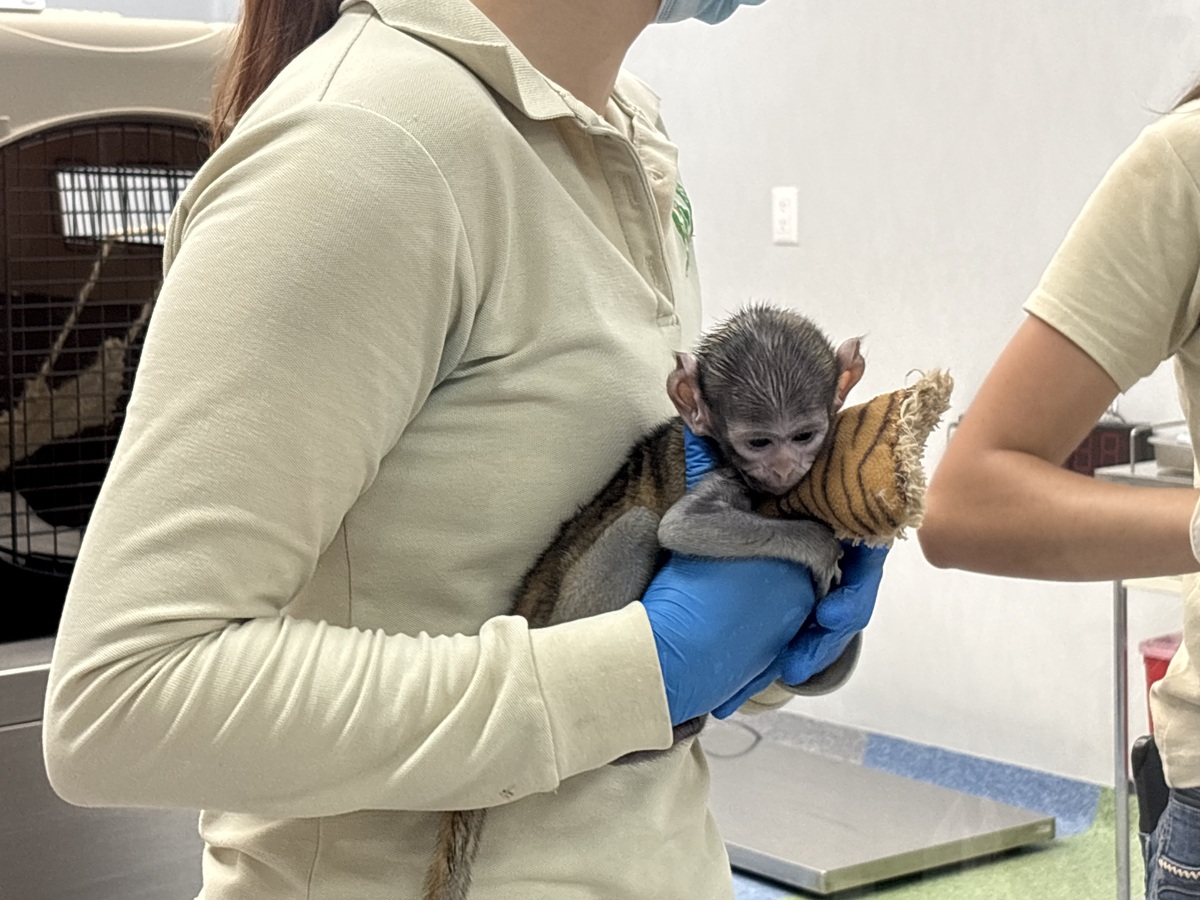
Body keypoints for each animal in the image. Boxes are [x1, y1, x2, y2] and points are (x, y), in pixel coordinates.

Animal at [421, 304, 866, 900]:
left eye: (803, 435)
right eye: (759, 443)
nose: (783, 470)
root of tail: (533, 591)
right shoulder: (723, 472)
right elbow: (683, 527)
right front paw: (817, 546)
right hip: (572, 609)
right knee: (637, 526)